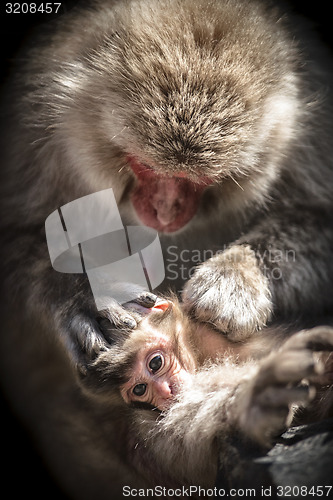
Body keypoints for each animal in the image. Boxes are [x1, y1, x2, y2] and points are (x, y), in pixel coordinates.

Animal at [0, 0, 332, 498]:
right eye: (144, 166)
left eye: (200, 181)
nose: (165, 211)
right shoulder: (29, 142)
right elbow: (16, 243)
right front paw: (80, 296)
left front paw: (235, 278)